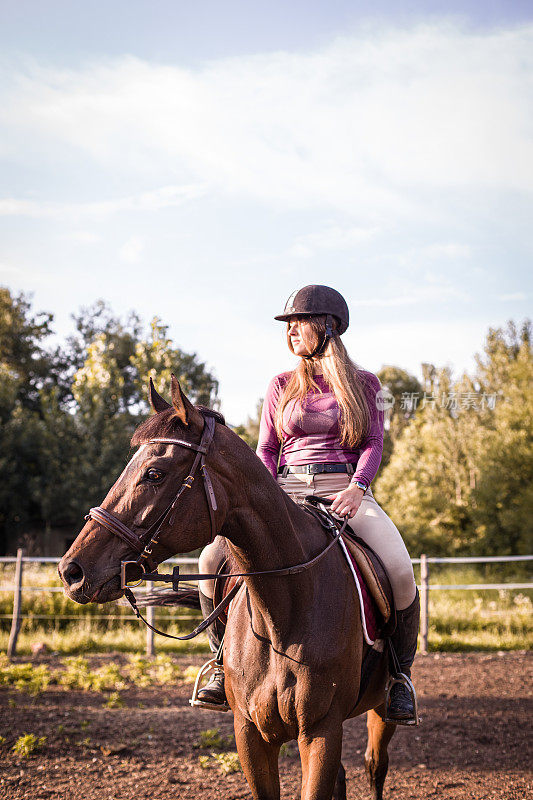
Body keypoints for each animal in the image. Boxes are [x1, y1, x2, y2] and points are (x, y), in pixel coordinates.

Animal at [60, 380, 396, 800]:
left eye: (154, 473)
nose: (71, 571)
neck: (283, 615)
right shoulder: (249, 734)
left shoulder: (321, 732)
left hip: (380, 712)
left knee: (375, 765)